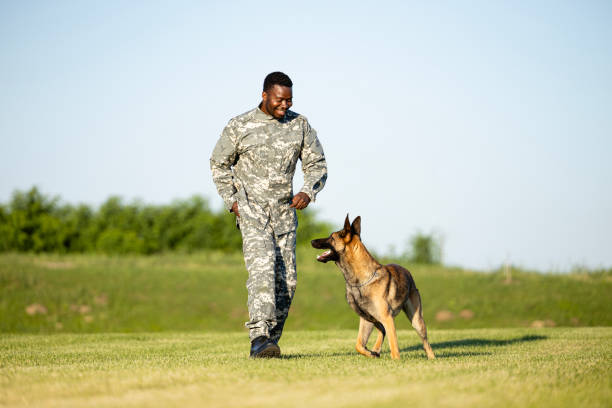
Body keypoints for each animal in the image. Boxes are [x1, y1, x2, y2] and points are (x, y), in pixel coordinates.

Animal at [310, 214, 436, 360]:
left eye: (331, 237)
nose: (312, 241)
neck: (358, 281)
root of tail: (407, 271)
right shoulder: (366, 319)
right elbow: (359, 345)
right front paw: (371, 353)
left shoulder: (387, 318)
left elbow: (394, 347)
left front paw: (395, 361)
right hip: (374, 319)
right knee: (382, 331)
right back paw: (375, 350)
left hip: (416, 321)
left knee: (425, 342)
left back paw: (432, 358)